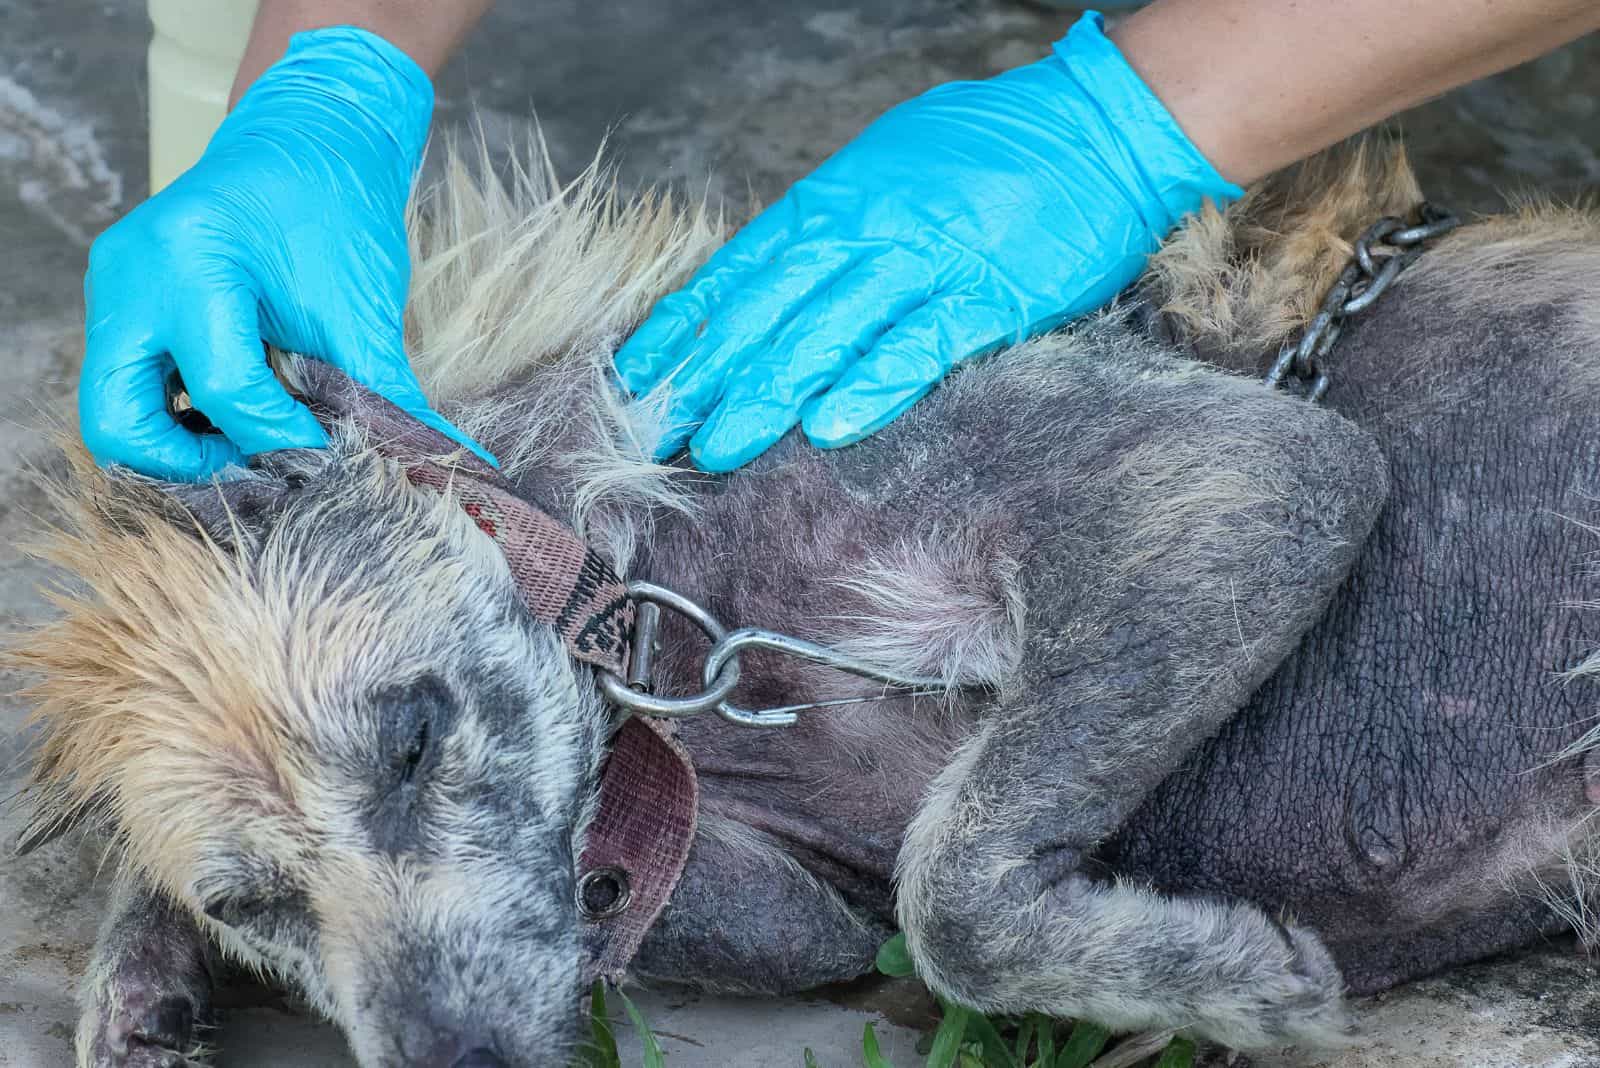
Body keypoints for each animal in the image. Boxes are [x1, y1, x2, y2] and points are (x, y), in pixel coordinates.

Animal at [12, 143, 1600, 1068]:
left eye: (410, 741)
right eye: (251, 905)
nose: (455, 1061)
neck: (654, 599)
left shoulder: (1237, 475)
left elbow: (953, 894)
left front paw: (1229, 983)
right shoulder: (745, 897)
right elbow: (882, 903)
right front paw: (144, 971)